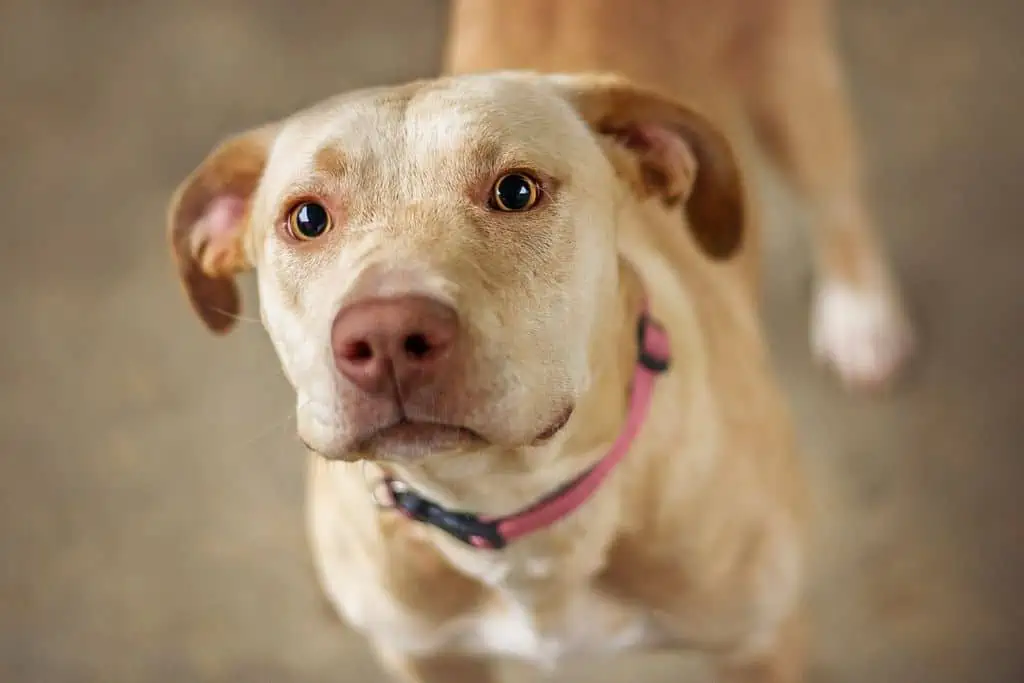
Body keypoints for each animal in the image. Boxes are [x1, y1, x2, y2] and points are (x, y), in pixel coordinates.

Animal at [165, 1, 913, 683]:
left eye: (517, 191)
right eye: (307, 218)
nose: (385, 334)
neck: (510, 510)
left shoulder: (759, 642)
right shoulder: (429, 656)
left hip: (796, 88)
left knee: (837, 197)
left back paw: (861, 317)